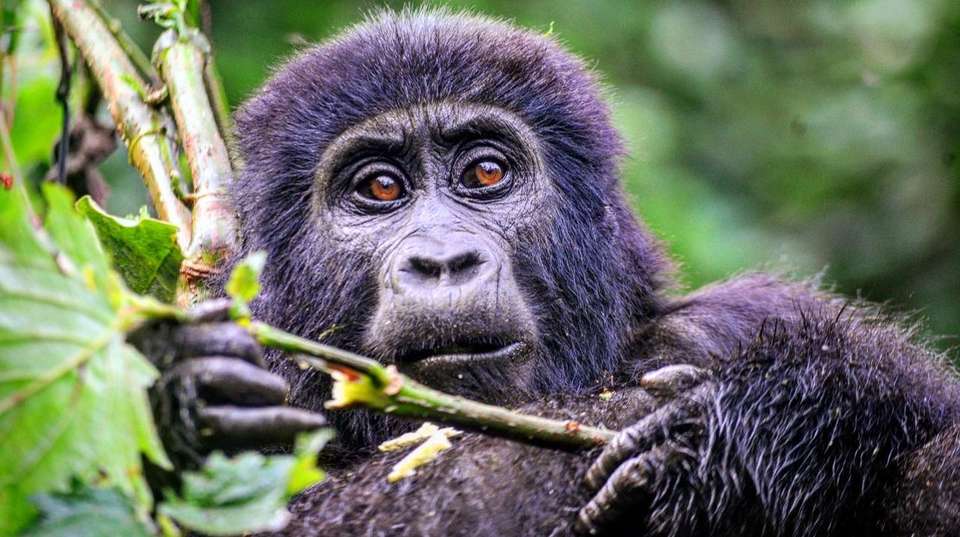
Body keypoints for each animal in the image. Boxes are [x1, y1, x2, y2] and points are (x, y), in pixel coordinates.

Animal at [133, 9, 960, 536]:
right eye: (380, 188)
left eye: (487, 172)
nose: (443, 260)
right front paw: (180, 386)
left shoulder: (747, 315)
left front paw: (741, 425)